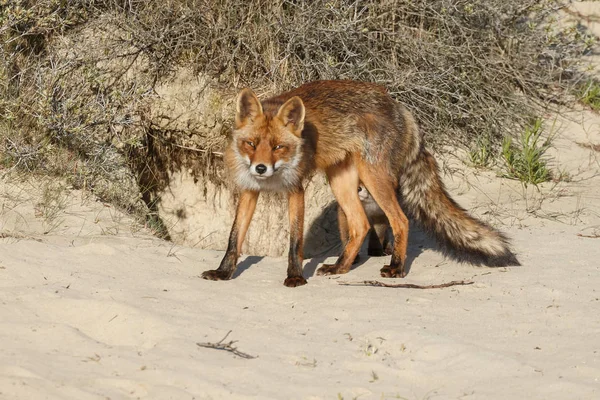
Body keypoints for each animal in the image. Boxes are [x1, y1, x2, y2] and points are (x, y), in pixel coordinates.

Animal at [202, 80, 520, 288]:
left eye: (279, 147)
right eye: (252, 144)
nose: (261, 168)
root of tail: (400, 107)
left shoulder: (296, 190)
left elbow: (295, 242)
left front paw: (295, 277)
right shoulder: (248, 191)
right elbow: (234, 238)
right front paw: (223, 272)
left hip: (373, 177)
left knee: (400, 220)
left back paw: (396, 268)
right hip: (341, 181)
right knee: (360, 225)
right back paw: (341, 267)